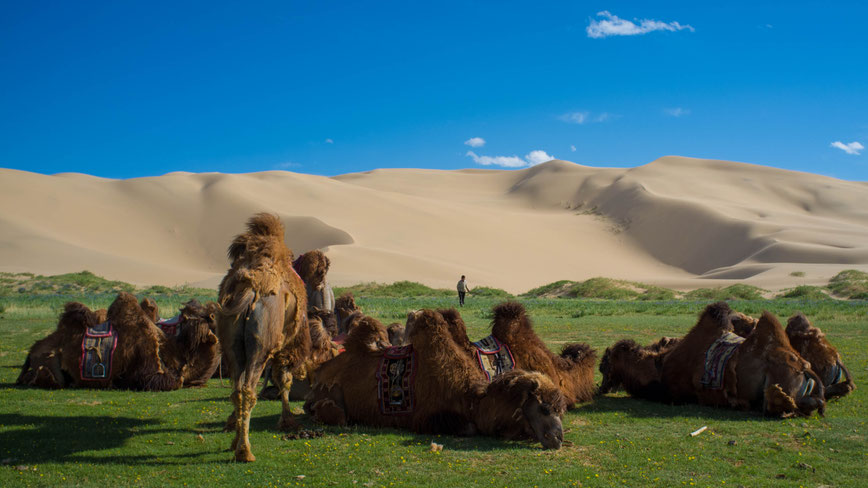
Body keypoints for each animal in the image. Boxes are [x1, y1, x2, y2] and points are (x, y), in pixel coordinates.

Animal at [17, 292, 220, 390]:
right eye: (193, 314)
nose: (212, 315)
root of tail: (32, 351)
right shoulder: (147, 369)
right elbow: (175, 382)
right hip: (48, 361)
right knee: (50, 377)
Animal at [217, 213, 312, 462]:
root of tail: (249, 289)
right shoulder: (286, 346)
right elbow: (283, 380)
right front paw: (288, 420)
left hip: (231, 345)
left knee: (236, 391)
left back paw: (235, 443)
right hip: (260, 345)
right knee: (249, 390)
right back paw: (245, 451)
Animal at [308, 310, 568, 448]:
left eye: (561, 410)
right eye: (544, 408)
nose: (558, 438)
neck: (473, 400)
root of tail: (318, 374)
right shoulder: (427, 417)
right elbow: (469, 428)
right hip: (331, 399)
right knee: (337, 415)